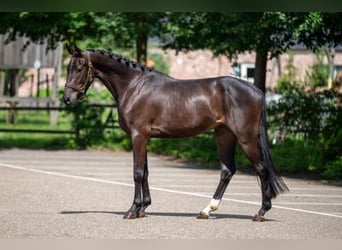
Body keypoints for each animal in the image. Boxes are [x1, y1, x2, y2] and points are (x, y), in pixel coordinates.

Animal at [62, 44, 288, 221]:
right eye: (68, 67)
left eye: (79, 67)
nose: (67, 99)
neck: (134, 86)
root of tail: (258, 91)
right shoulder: (144, 137)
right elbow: (145, 172)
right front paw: (143, 207)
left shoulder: (138, 136)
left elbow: (137, 173)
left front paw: (133, 210)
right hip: (224, 135)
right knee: (227, 171)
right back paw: (207, 210)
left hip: (246, 138)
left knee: (261, 169)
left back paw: (261, 212)